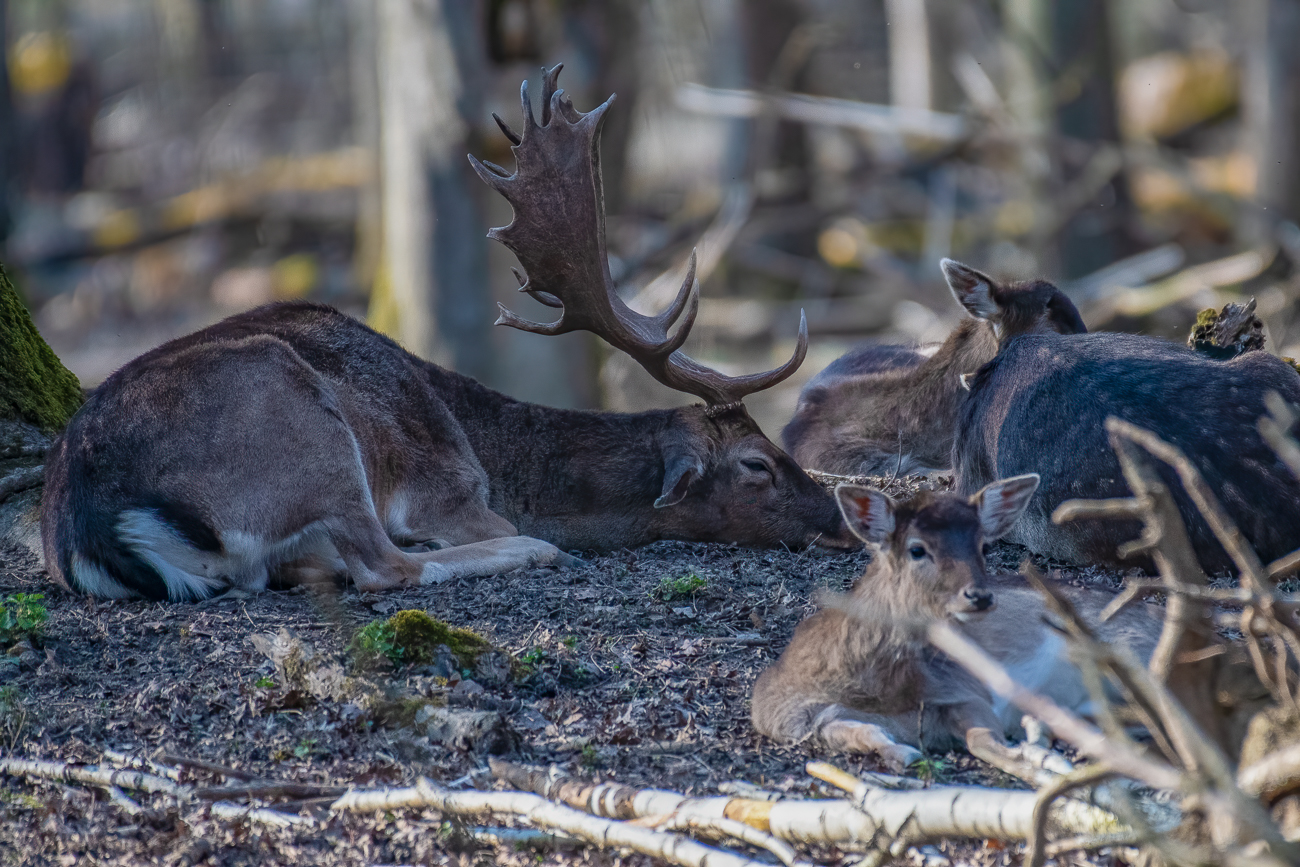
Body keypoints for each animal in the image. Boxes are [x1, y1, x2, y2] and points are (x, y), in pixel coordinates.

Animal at [40, 67, 852, 600]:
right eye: (756, 464)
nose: (842, 518)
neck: (495, 448)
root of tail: (87, 519)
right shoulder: (449, 489)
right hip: (295, 418)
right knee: (383, 566)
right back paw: (527, 548)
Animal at [754, 478, 1159, 774]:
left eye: (983, 546)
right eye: (917, 549)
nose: (979, 596)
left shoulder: (962, 688)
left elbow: (983, 739)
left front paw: (1040, 758)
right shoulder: (790, 718)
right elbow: (859, 732)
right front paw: (902, 755)